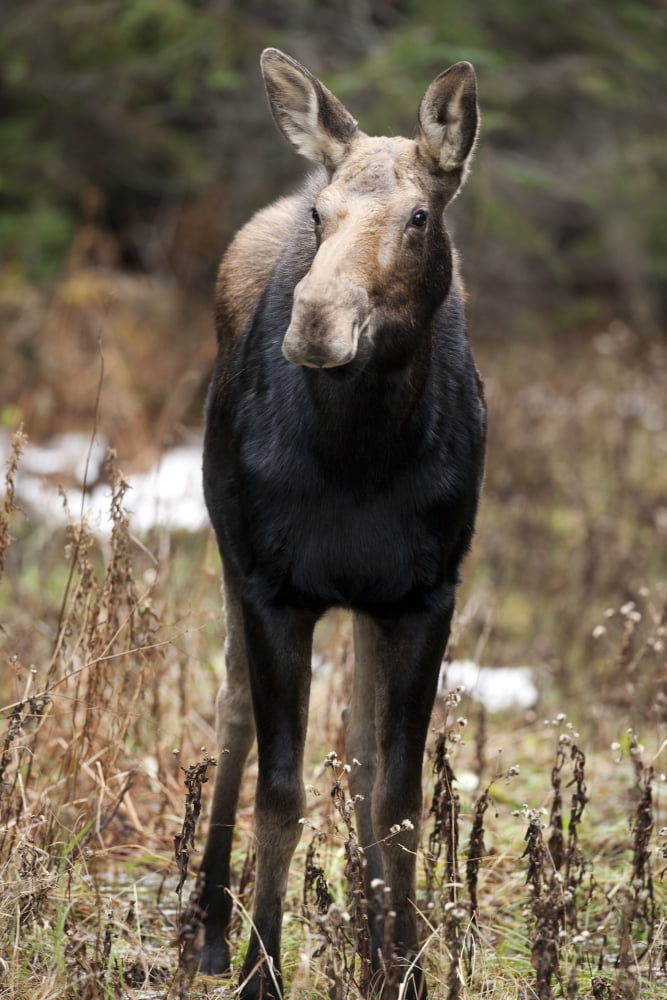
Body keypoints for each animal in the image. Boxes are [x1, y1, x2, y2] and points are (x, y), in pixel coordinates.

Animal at [197, 47, 486, 1000]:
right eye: (322, 215)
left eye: (419, 216)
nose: (316, 322)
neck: (361, 459)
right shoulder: (272, 588)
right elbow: (280, 796)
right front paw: (260, 969)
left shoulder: (425, 593)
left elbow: (394, 795)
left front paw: (402, 963)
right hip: (226, 551)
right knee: (230, 714)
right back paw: (207, 924)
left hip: (366, 604)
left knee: (357, 752)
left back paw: (365, 931)